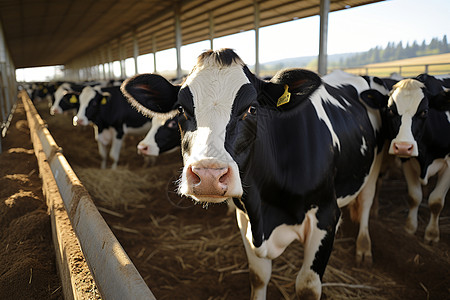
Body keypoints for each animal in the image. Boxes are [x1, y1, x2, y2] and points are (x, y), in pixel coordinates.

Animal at [120, 48, 386, 298]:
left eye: (252, 108)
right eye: (181, 110)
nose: (208, 176)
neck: (266, 211)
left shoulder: (326, 215)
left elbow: (308, 287)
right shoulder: (246, 216)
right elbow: (258, 277)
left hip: (375, 164)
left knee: (367, 201)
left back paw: (364, 248)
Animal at [362, 73, 450, 244]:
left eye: (424, 111)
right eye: (390, 110)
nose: (403, 146)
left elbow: (436, 201)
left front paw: (431, 234)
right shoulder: (407, 162)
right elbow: (414, 197)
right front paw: (410, 228)